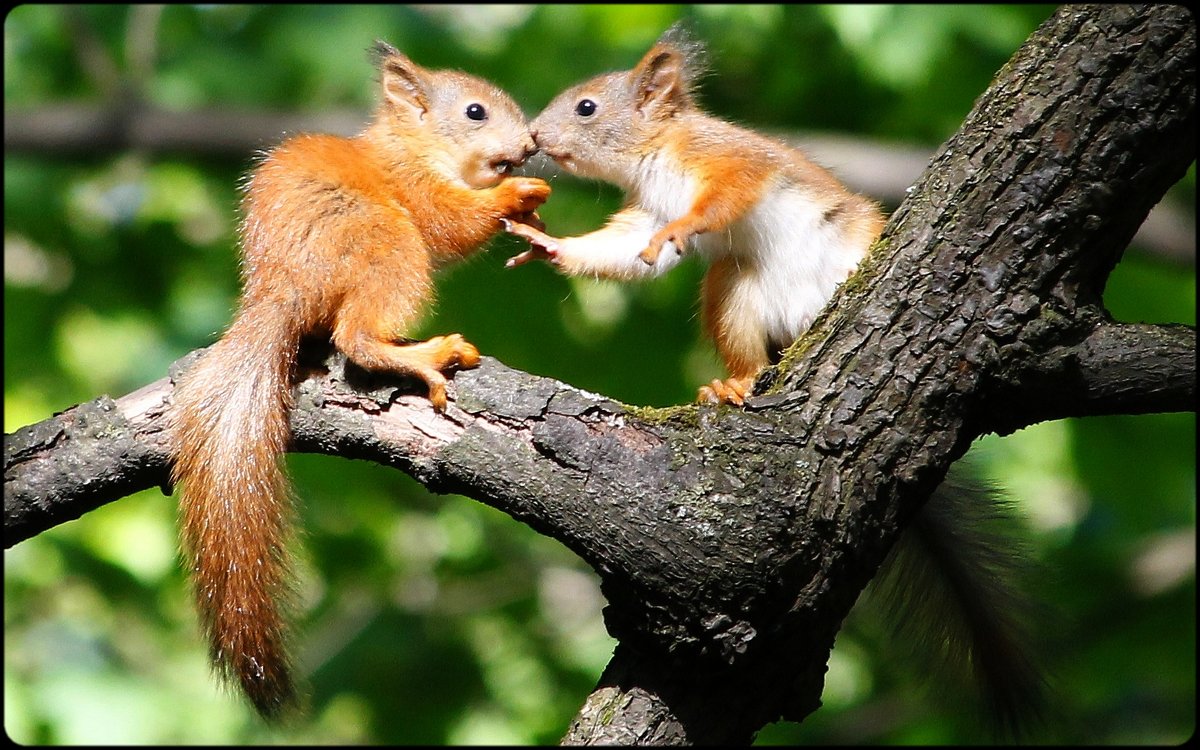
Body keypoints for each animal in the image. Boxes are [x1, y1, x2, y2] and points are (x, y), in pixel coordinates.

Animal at [166, 39, 549, 715]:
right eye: (474, 111)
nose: (529, 143)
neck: (413, 144)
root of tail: (283, 285)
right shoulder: (416, 188)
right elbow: (451, 222)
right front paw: (515, 194)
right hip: (389, 245)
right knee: (357, 337)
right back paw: (426, 355)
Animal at [511, 24, 1046, 739]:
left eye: (587, 107)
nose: (534, 137)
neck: (655, 157)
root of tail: (799, 324)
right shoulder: (642, 216)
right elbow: (626, 253)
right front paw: (549, 246)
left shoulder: (731, 161)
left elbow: (727, 195)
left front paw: (685, 225)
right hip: (734, 290)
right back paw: (732, 385)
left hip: (849, 239)